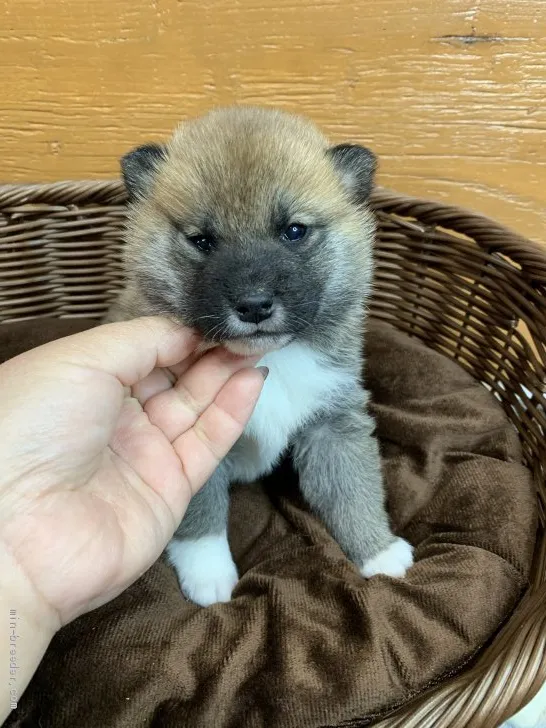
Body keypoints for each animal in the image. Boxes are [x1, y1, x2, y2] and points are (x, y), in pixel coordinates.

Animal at [107, 106, 412, 608]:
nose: (253, 305)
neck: (271, 361)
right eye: (202, 240)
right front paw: (208, 575)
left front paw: (378, 553)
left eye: (294, 231)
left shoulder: (334, 423)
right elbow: (201, 512)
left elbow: (353, 490)